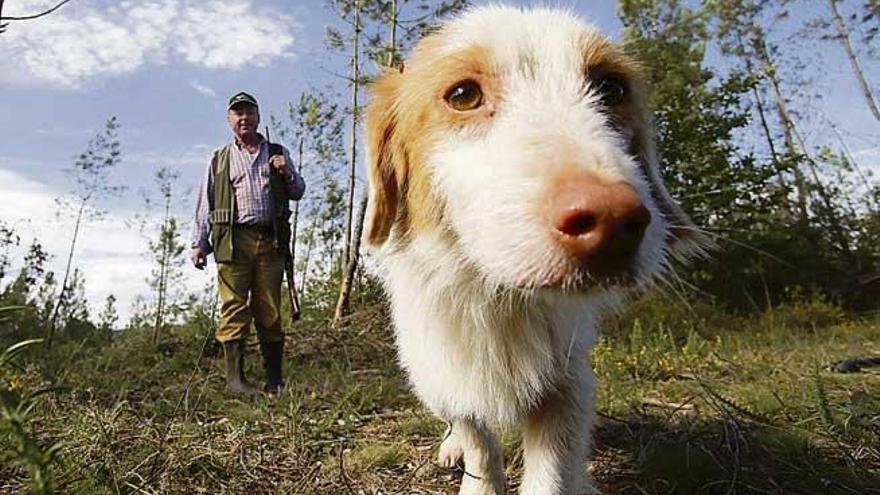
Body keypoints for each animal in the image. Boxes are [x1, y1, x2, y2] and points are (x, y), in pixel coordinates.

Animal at [362, 4, 700, 495]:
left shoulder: (568, 382)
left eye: (612, 87)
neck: (500, 301)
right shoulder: (444, 370)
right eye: (462, 94)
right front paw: (473, 469)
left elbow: (553, 470)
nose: (612, 221)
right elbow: (478, 439)